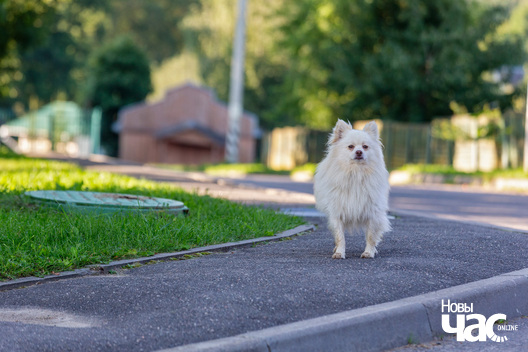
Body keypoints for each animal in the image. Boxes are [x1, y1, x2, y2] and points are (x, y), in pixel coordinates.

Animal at [314, 119, 392, 260]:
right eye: (351, 146)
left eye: (365, 147)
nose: (359, 152)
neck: (356, 172)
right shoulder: (337, 211)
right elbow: (340, 236)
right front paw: (339, 252)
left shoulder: (373, 212)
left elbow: (371, 235)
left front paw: (369, 252)